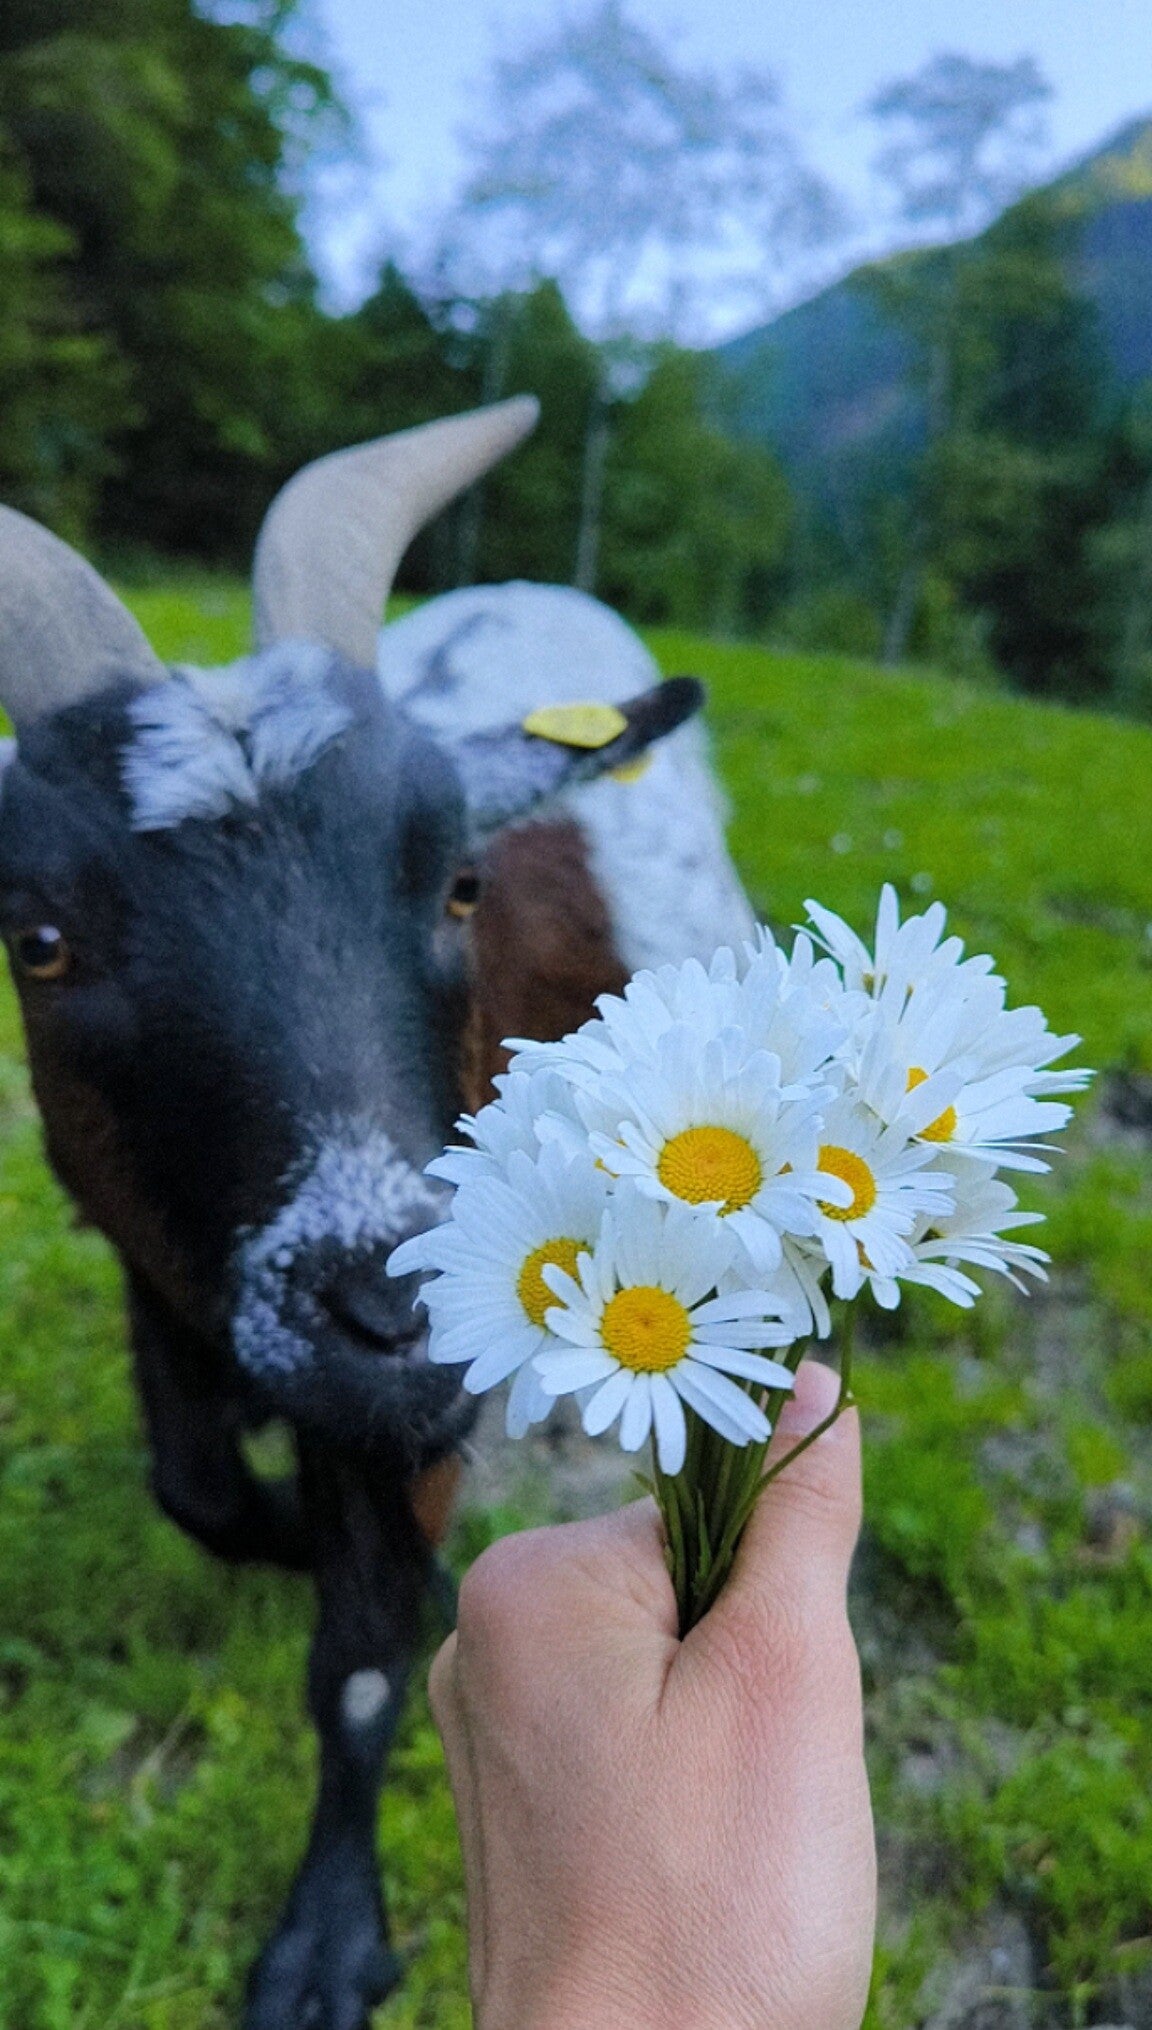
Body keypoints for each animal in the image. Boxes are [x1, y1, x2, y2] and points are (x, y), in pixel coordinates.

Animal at [0, 397, 754, 2028]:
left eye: (460, 882)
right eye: (38, 936)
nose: (396, 1302)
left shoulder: (421, 1388)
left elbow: (359, 1652)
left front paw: (326, 1943)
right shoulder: (159, 1271)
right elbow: (198, 1491)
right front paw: (282, 1522)